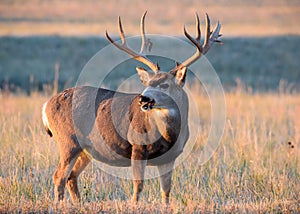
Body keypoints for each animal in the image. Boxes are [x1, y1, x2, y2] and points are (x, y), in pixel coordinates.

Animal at [41, 11, 220, 204]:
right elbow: (138, 186)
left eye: (165, 85)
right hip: (68, 141)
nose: (143, 99)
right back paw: (59, 204)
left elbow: (166, 190)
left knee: (71, 177)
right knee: (59, 176)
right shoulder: (137, 146)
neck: (168, 134)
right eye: (148, 83)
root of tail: (46, 105)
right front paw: (134, 205)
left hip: (86, 150)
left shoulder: (170, 157)